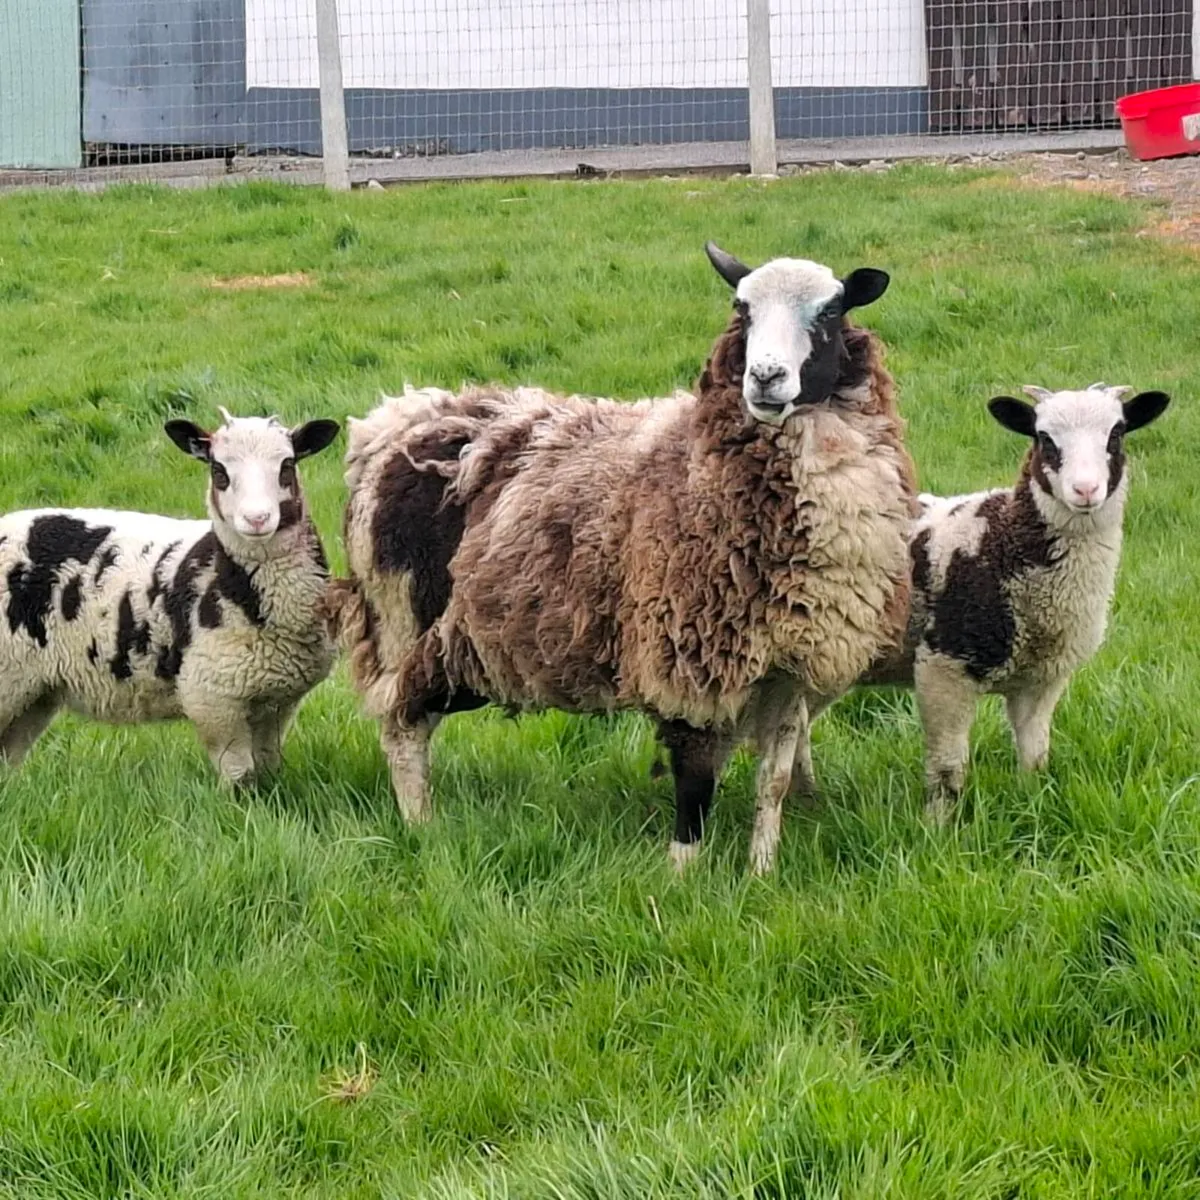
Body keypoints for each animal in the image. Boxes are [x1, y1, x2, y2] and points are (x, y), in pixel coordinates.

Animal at [0, 409, 340, 783]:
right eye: (218, 470)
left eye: (287, 464)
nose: (257, 519)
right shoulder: (212, 699)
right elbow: (240, 777)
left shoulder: (277, 702)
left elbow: (267, 769)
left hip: (34, 693)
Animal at [329, 242, 917, 873]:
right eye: (742, 308)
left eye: (830, 313)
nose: (765, 378)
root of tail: (394, 422)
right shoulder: (683, 655)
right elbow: (694, 781)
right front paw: (682, 872)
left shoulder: (791, 669)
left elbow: (774, 782)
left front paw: (762, 870)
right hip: (408, 625)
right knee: (402, 725)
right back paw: (421, 825)